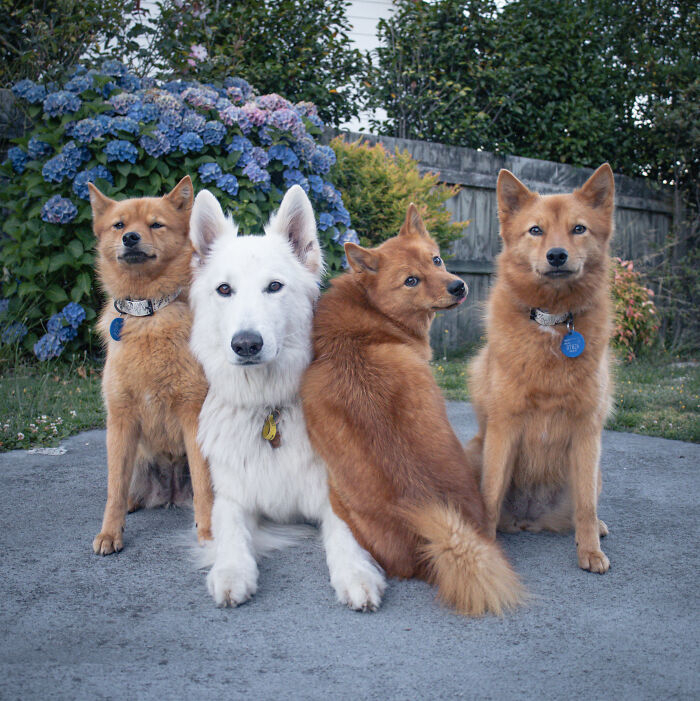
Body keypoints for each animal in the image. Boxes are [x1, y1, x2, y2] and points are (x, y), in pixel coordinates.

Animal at [89, 174, 213, 552]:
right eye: (119, 225)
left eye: (156, 224)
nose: (131, 237)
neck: (148, 314)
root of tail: (170, 493)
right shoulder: (121, 420)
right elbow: (114, 488)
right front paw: (110, 532)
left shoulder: (193, 413)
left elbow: (204, 486)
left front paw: (209, 532)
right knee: (127, 486)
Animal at [189, 185, 386, 608]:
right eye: (224, 290)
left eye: (274, 286)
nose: (246, 344)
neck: (269, 406)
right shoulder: (231, 499)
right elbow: (230, 532)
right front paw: (232, 571)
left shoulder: (336, 496)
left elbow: (347, 534)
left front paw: (356, 574)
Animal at [468, 165, 616, 576]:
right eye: (535, 230)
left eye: (579, 228)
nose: (557, 255)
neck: (552, 321)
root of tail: (529, 519)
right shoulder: (504, 426)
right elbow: (489, 494)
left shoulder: (587, 431)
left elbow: (586, 505)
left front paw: (590, 550)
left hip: (593, 469)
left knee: (584, 507)